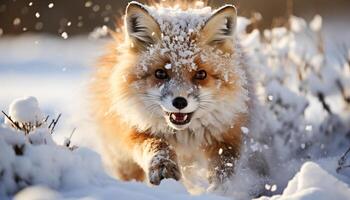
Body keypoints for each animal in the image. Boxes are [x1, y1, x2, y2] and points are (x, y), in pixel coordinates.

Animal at [91, 0, 253, 188]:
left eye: (201, 74)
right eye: (160, 73)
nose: (180, 102)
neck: (183, 137)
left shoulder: (227, 134)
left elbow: (223, 167)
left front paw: (219, 189)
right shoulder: (134, 129)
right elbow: (158, 146)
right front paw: (164, 168)